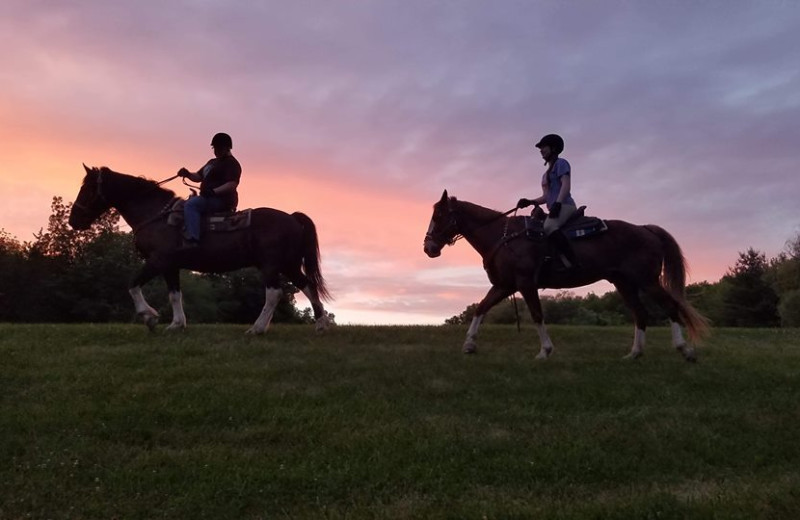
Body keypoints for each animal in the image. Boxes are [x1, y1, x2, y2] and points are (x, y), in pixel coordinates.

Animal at [68, 164, 332, 334]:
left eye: (88, 189)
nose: (73, 221)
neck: (156, 215)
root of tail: (292, 217)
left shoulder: (158, 261)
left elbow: (132, 285)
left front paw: (149, 317)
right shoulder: (171, 266)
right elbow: (175, 295)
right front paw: (176, 324)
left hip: (271, 265)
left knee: (275, 293)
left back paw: (257, 328)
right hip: (288, 264)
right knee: (307, 285)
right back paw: (320, 324)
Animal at [422, 191, 708, 362]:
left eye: (440, 215)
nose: (429, 248)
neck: (505, 237)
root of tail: (645, 229)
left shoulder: (525, 283)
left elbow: (537, 314)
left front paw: (544, 351)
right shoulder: (504, 285)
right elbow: (480, 308)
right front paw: (469, 344)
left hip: (647, 281)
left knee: (670, 306)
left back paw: (685, 349)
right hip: (624, 283)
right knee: (640, 313)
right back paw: (634, 353)